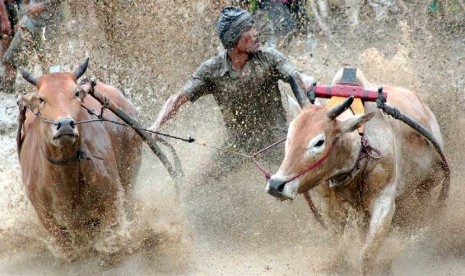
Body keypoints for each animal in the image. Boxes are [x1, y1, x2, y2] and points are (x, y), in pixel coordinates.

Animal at [17, 58, 141, 260]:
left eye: (75, 93)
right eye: (42, 99)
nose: (65, 124)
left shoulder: (112, 198)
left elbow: (111, 235)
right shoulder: (44, 214)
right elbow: (67, 246)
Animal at [264, 67, 446, 274]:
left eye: (319, 142)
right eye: (290, 135)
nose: (276, 185)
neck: (360, 150)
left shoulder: (384, 202)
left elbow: (366, 255)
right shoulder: (329, 205)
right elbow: (338, 248)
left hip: (429, 183)